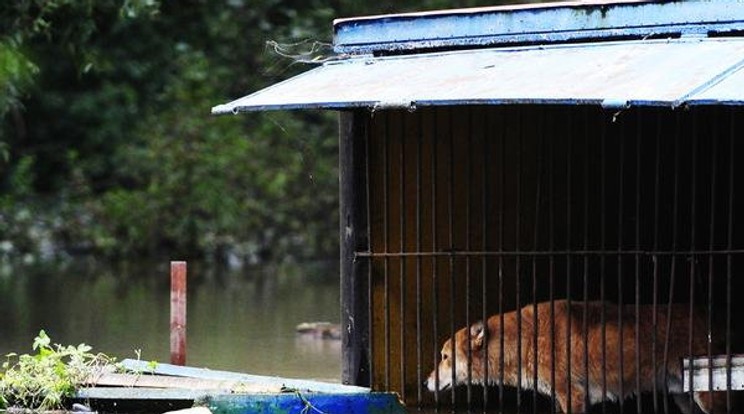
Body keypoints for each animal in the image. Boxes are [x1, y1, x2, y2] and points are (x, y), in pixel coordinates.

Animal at [424, 300, 728, 414]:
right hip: (684, 399)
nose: (426, 382)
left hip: (707, 397)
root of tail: (707, 318)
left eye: (444, 356)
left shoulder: (573, 395)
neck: (524, 343)